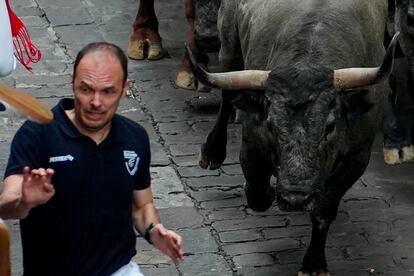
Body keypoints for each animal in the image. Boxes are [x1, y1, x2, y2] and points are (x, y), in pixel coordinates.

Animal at [190, 0, 398, 274]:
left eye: (330, 126)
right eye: (270, 124)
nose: (295, 197)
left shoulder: (357, 156)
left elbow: (325, 210)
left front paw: (314, 263)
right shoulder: (251, 142)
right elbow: (257, 192)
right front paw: (265, 191)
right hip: (229, 44)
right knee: (228, 95)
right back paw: (212, 151)